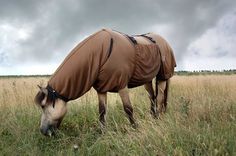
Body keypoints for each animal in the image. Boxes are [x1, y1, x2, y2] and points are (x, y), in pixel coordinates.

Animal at [34, 28, 176, 136]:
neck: (102, 52)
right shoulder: (102, 89)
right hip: (147, 79)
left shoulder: (122, 85)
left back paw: (158, 117)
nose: (43, 131)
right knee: (152, 96)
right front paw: (102, 133)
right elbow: (102, 111)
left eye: (43, 106)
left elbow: (128, 109)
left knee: (160, 97)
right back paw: (152, 116)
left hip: (163, 77)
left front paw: (135, 128)